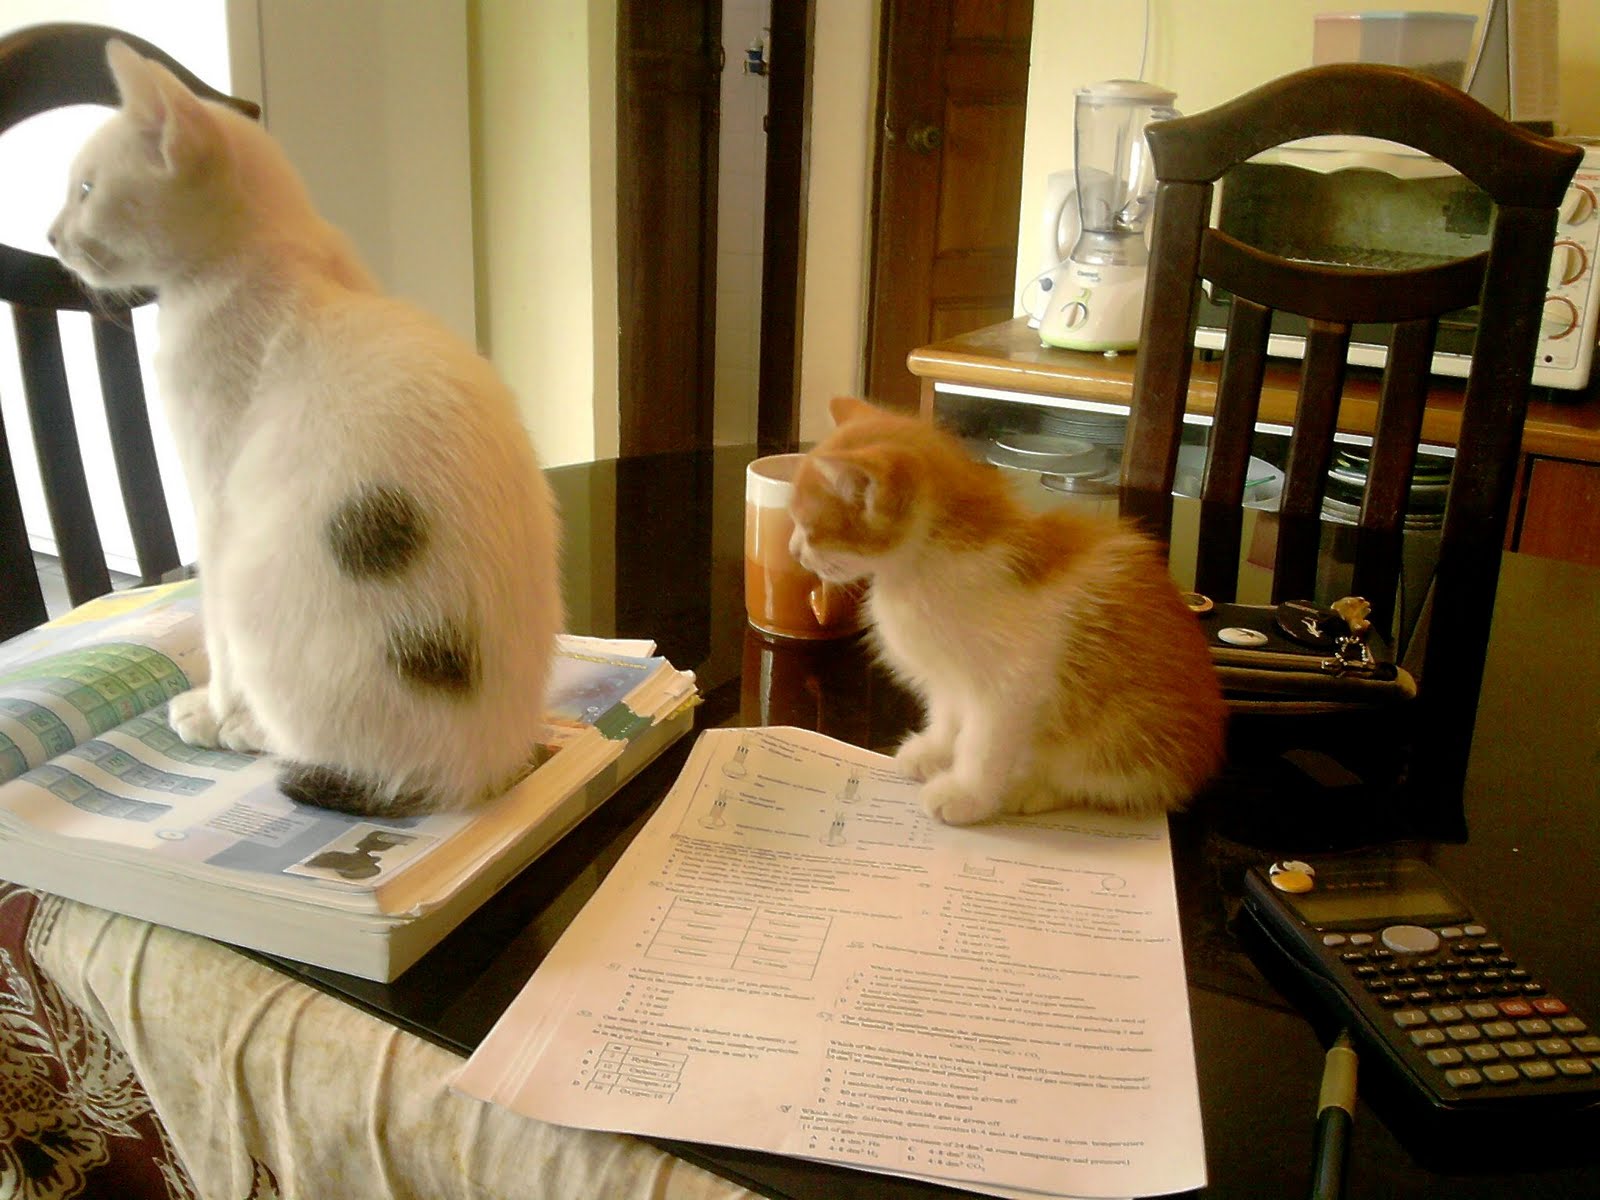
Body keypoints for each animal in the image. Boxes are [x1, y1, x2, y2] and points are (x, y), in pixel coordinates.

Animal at [48, 41, 563, 817]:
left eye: (84, 188)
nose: (51, 236)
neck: (270, 253)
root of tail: (478, 769)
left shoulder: (215, 492)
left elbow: (215, 630)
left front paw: (216, 709)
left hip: (258, 581)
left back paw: (243, 728)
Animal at [788, 396, 1226, 825]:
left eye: (809, 528)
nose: (794, 551)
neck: (921, 567)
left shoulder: (1012, 686)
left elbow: (982, 744)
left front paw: (966, 795)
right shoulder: (948, 674)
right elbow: (947, 713)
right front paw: (934, 751)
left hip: (1118, 736)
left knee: (1103, 783)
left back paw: (1028, 790)